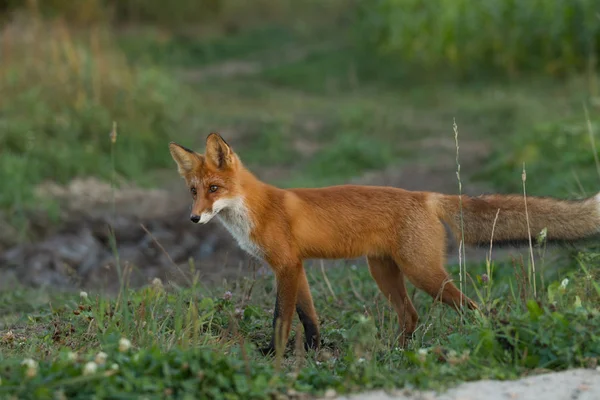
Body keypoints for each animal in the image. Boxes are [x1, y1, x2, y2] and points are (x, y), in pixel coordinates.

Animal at [168, 133, 600, 354]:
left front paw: (273, 357)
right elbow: (310, 317)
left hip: (423, 273)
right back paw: (397, 351)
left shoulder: (287, 266)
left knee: (474, 308)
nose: (194, 218)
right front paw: (315, 351)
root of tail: (426, 196)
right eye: (193, 191)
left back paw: (492, 339)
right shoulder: (296, 266)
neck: (256, 209)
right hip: (384, 272)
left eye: (214, 189)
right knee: (412, 315)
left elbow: (281, 318)